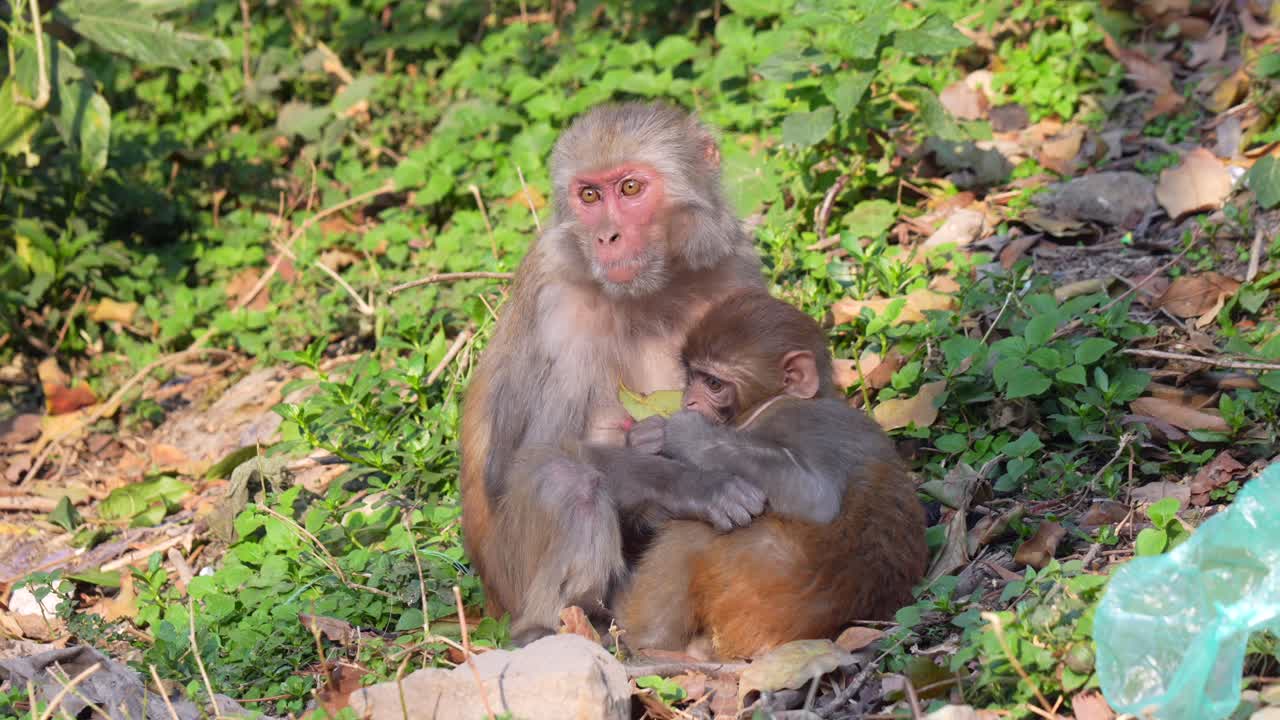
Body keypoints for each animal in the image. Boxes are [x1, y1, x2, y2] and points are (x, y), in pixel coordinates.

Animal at [459, 102, 769, 644]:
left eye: (629, 188)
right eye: (589, 195)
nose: (606, 236)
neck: (655, 289)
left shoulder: (734, 271)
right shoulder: (558, 306)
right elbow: (520, 461)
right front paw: (694, 483)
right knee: (567, 481)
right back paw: (552, 628)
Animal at [615, 289, 929, 659]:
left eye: (713, 383)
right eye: (692, 376)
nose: (688, 401)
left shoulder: (809, 422)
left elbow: (814, 496)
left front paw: (685, 434)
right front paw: (644, 441)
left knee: (695, 530)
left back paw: (645, 642)